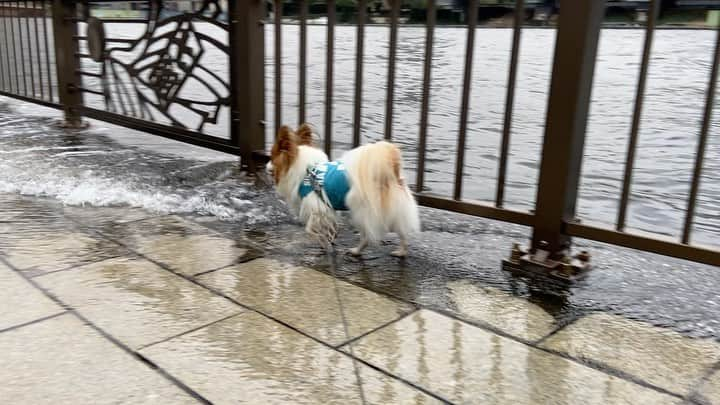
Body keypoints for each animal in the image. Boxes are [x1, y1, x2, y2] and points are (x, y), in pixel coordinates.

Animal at [268, 123, 420, 256]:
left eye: (272, 157)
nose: (266, 165)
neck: (308, 171)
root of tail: (391, 174)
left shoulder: (317, 207)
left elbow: (309, 229)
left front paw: (324, 242)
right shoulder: (328, 208)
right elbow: (330, 225)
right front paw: (330, 237)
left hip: (361, 212)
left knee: (367, 237)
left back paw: (356, 251)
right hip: (394, 210)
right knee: (402, 232)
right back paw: (401, 252)